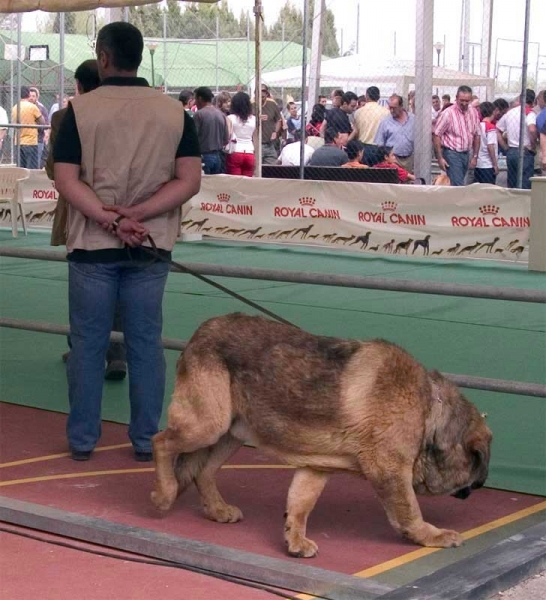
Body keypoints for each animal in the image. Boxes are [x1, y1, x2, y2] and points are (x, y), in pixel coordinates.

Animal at [151, 316, 490, 556]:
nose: (479, 486)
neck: (429, 410)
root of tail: (201, 331)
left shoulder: (315, 470)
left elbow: (300, 505)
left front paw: (295, 540)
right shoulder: (390, 473)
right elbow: (409, 512)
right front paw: (432, 535)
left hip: (230, 432)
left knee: (204, 471)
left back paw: (217, 509)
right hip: (207, 425)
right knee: (161, 442)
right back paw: (164, 493)